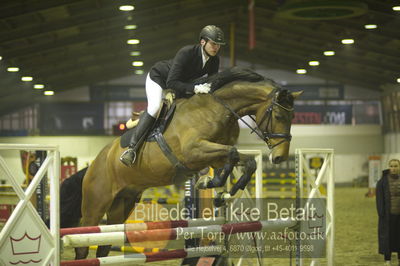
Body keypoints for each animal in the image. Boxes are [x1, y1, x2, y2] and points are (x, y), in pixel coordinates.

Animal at [61, 67, 302, 260]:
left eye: (293, 117)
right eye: (279, 116)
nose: (279, 157)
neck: (218, 109)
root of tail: (92, 166)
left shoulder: (214, 152)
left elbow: (244, 160)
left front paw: (220, 190)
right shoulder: (194, 151)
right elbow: (233, 154)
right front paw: (214, 186)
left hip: (123, 202)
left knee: (105, 244)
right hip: (96, 203)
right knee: (83, 243)